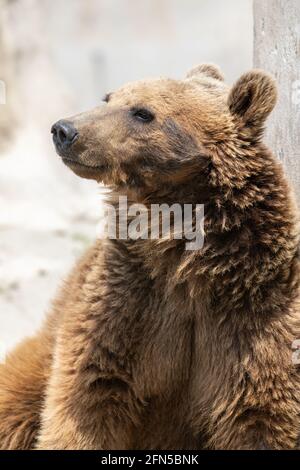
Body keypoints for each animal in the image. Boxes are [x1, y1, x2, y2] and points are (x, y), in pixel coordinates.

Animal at [0, 64, 300, 450]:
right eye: (109, 97)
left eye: (143, 112)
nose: (64, 130)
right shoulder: (127, 300)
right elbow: (87, 394)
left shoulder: (253, 312)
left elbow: (262, 415)